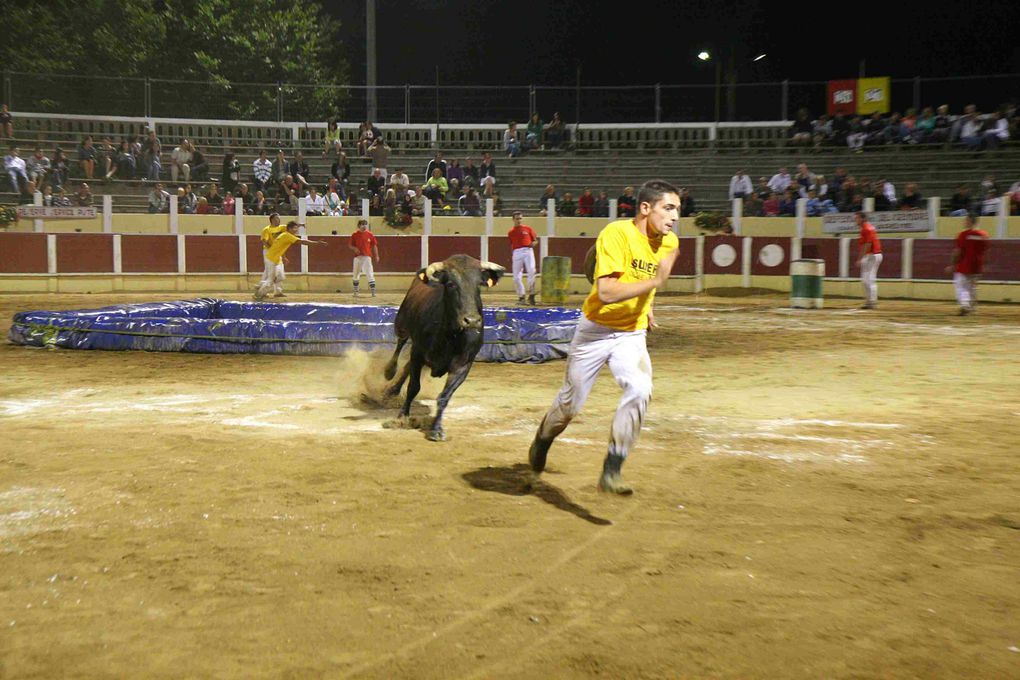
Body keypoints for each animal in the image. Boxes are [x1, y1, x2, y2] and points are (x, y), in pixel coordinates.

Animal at [383, 254, 505, 442]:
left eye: (479, 284)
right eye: (451, 284)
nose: (472, 321)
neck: (450, 335)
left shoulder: (463, 365)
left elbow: (444, 396)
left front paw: (436, 429)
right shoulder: (418, 352)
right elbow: (413, 387)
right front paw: (402, 417)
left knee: (406, 366)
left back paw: (393, 390)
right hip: (401, 324)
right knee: (400, 345)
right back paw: (389, 373)